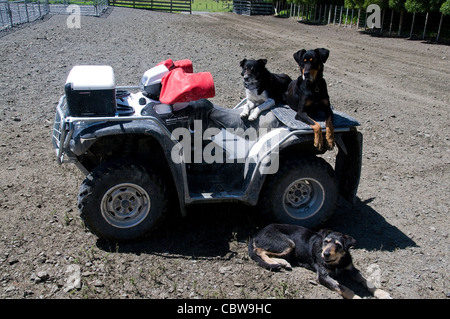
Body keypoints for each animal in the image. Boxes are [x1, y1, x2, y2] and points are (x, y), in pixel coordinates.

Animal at [248, 225, 392, 300]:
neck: (337, 262)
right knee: (258, 250)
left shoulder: (351, 269)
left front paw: (381, 293)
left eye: (338, 245)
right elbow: (344, 287)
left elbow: (367, 281)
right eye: (326, 242)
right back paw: (277, 262)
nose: (325, 254)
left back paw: (282, 262)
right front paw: (357, 297)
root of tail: (258, 232)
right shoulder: (323, 276)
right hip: (288, 243)